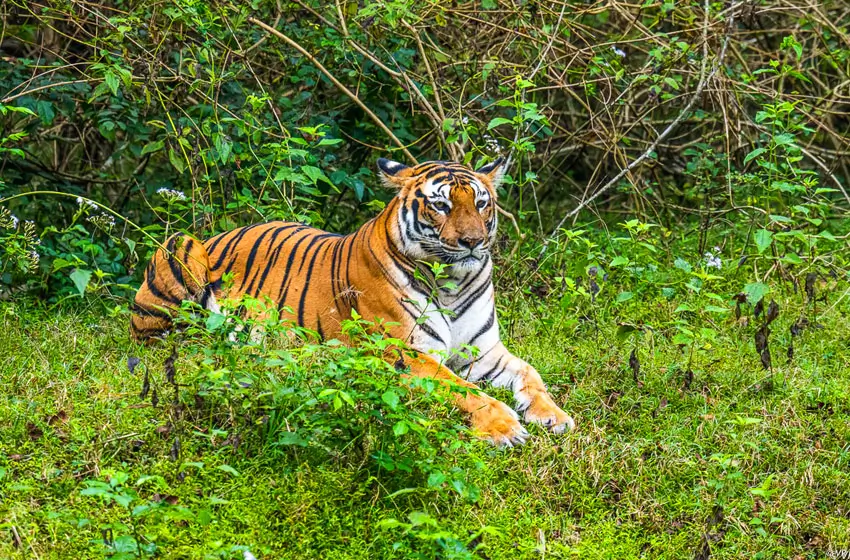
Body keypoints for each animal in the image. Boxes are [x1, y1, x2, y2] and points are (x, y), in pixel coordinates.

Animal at [130, 158, 575, 446]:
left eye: (481, 203)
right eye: (441, 204)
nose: (472, 241)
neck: (453, 282)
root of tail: (217, 233)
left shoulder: (483, 351)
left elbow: (531, 375)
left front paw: (554, 416)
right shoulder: (400, 351)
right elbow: (460, 388)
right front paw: (504, 427)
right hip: (180, 247)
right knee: (165, 341)